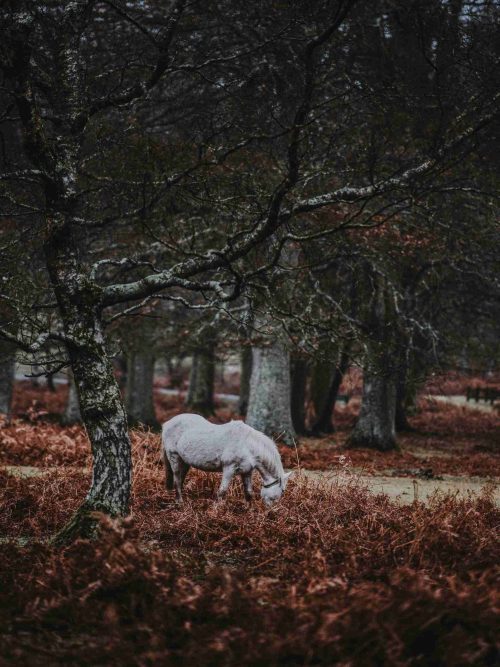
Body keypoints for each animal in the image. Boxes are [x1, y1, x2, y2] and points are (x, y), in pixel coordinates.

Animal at [162, 412, 292, 506]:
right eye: (279, 493)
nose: (270, 511)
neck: (247, 445)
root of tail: (167, 424)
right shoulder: (229, 469)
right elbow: (222, 491)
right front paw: (216, 510)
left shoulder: (247, 471)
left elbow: (249, 492)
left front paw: (248, 510)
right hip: (174, 457)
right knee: (177, 479)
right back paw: (180, 502)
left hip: (184, 461)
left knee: (181, 479)